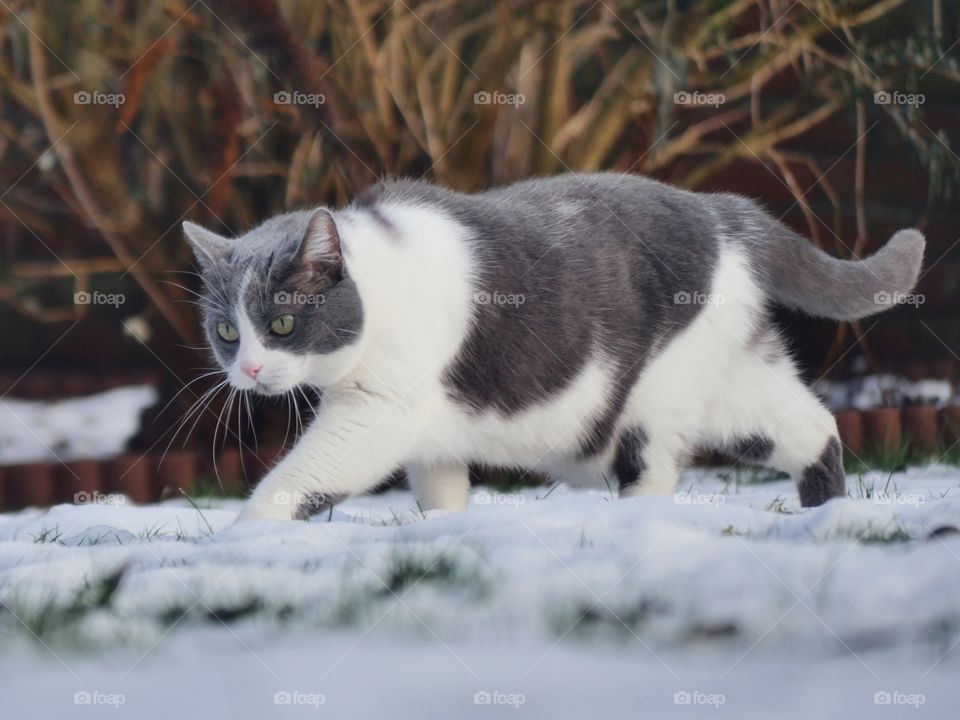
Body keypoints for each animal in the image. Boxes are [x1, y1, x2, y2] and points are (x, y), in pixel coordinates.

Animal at [184, 174, 928, 524]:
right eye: (227, 332)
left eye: (282, 325)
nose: (249, 369)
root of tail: (724, 211)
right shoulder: (429, 435)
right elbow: (442, 489)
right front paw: (446, 530)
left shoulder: (378, 411)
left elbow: (299, 477)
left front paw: (249, 533)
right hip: (736, 382)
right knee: (813, 425)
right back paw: (826, 514)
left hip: (658, 396)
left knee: (654, 470)